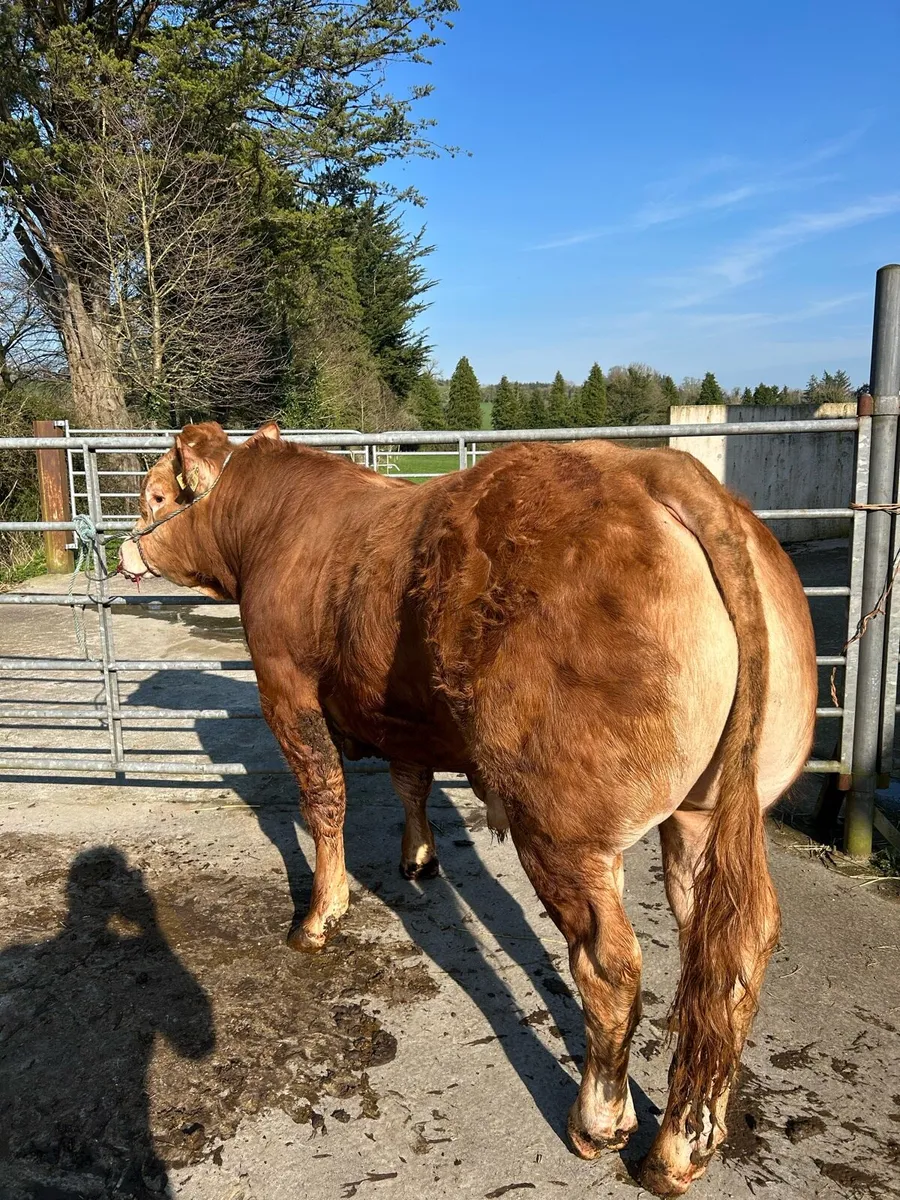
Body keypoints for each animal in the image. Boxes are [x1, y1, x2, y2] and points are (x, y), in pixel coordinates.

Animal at [118, 420, 817, 1196]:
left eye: (155, 494)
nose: (121, 548)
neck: (277, 525)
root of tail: (659, 469)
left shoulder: (286, 688)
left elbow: (324, 798)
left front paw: (319, 916)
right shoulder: (401, 712)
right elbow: (410, 780)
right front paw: (417, 857)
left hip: (563, 827)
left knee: (610, 966)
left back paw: (599, 1123)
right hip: (704, 815)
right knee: (731, 953)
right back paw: (683, 1146)